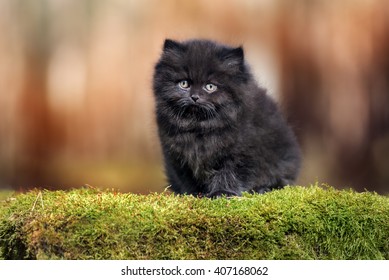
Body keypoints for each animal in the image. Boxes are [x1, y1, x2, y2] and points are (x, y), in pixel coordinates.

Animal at [153, 38, 302, 197]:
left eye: (210, 86)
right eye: (184, 84)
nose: (194, 97)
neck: (199, 128)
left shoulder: (242, 153)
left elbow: (229, 173)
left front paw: (222, 192)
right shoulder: (177, 156)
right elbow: (186, 179)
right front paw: (192, 194)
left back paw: (263, 188)